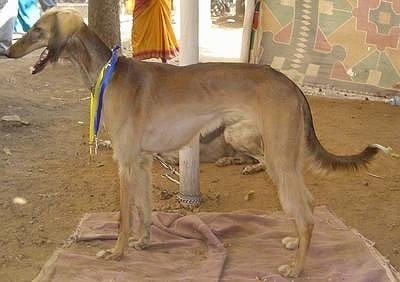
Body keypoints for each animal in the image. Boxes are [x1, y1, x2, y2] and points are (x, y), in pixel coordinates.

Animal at [6, 8, 388, 278]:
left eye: (37, 28)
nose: (8, 52)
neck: (110, 72)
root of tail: (291, 84)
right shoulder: (142, 161)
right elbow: (144, 210)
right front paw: (143, 242)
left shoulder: (126, 162)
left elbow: (125, 216)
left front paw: (117, 252)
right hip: (284, 158)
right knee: (306, 206)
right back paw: (295, 242)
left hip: (277, 158)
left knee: (306, 214)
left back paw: (295, 268)